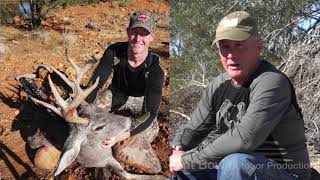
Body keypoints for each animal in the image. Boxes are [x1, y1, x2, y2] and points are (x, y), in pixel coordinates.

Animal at [29, 48, 168, 179]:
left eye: (101, 110)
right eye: (99, 127)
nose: (129, 121)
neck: (97, 157)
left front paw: (162, 176)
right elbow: (124, 174)